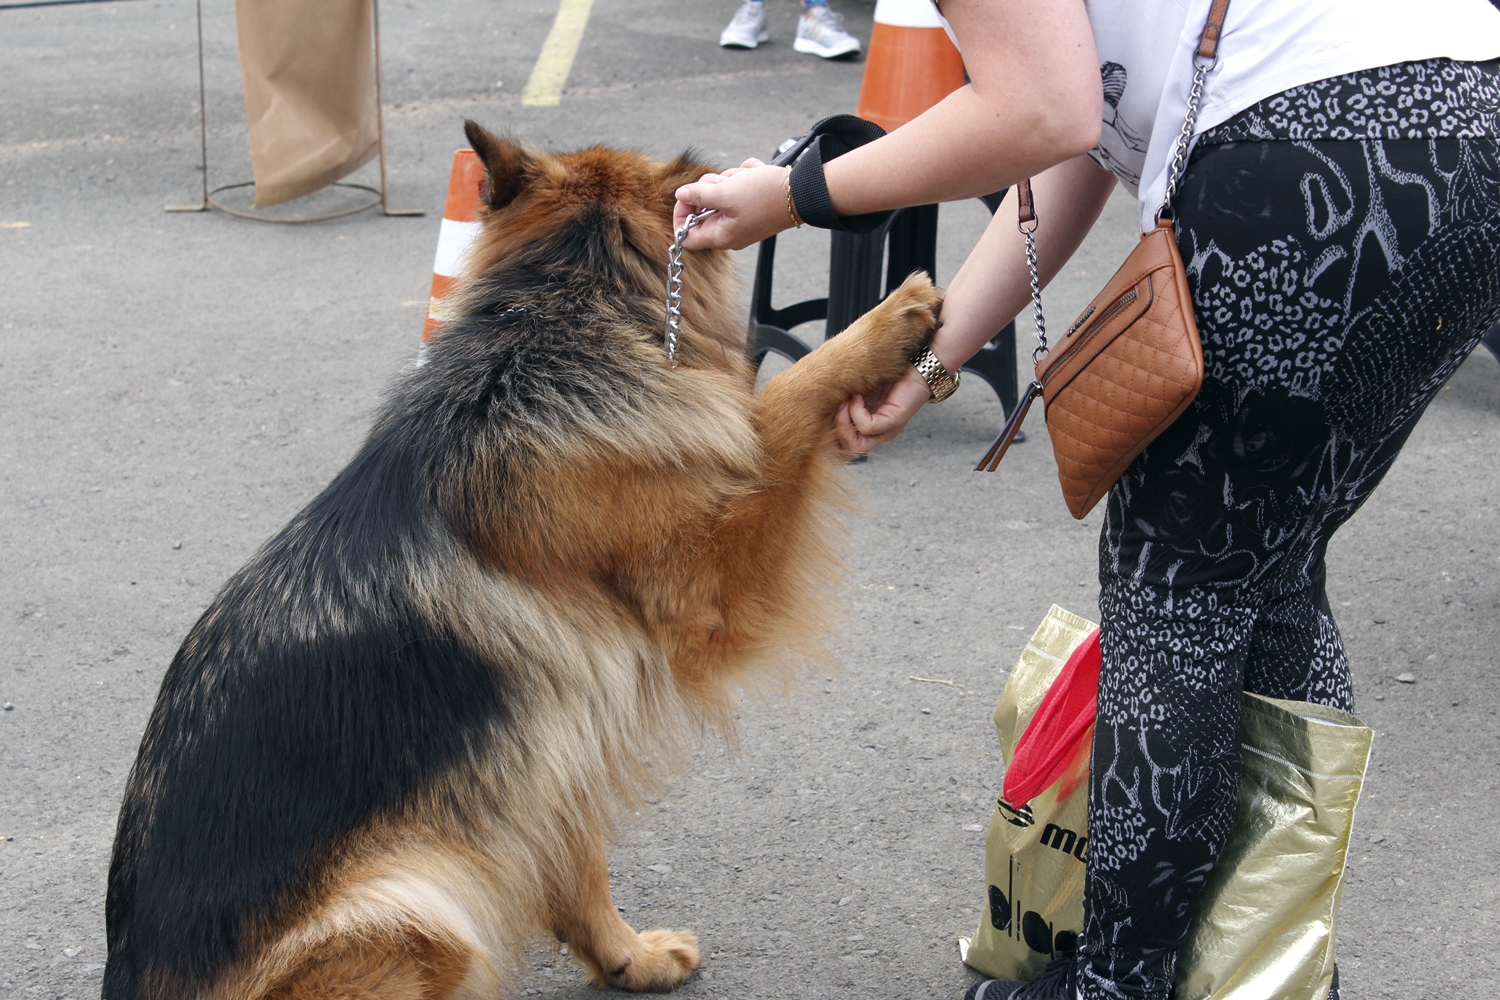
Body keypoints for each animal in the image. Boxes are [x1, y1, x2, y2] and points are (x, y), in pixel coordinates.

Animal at [105, 121, 936, 995]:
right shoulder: (705, 591)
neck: (559, 313)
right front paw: (883, 325)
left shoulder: (545, 746)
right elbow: (778, 405)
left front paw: (628, 958)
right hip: (415, 903)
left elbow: (576, 868)